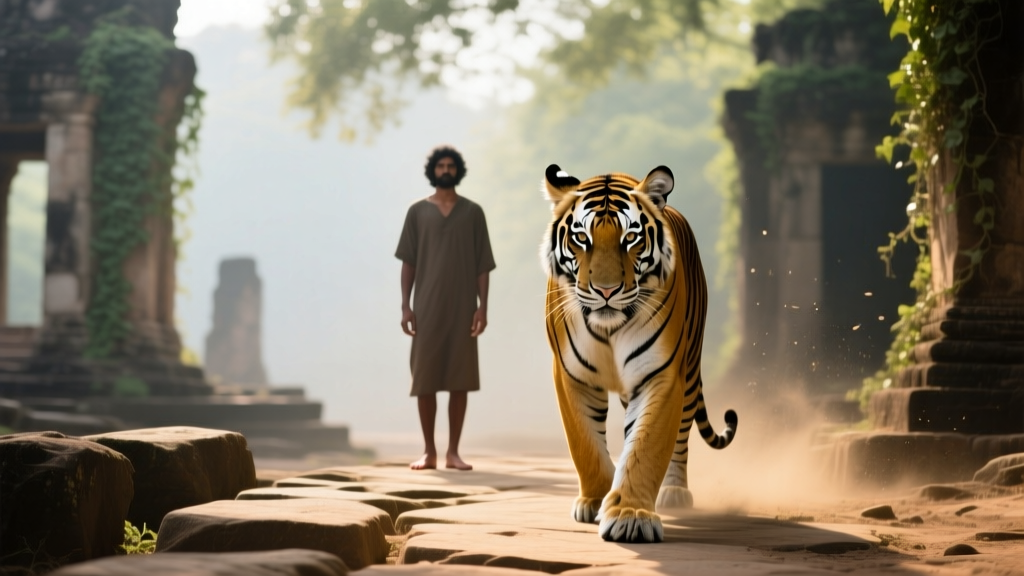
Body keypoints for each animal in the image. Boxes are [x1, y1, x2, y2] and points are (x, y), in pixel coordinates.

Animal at [541, 164, 738, 543]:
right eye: (582, 238)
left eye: (630, 238)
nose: (605, 291)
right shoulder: (572, 375)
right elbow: (585, 442)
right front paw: (595, 500)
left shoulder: (660, 374)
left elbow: (646, 445)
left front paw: (631, 516)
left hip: (688, 371)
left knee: (681, 437)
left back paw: (674, 492)